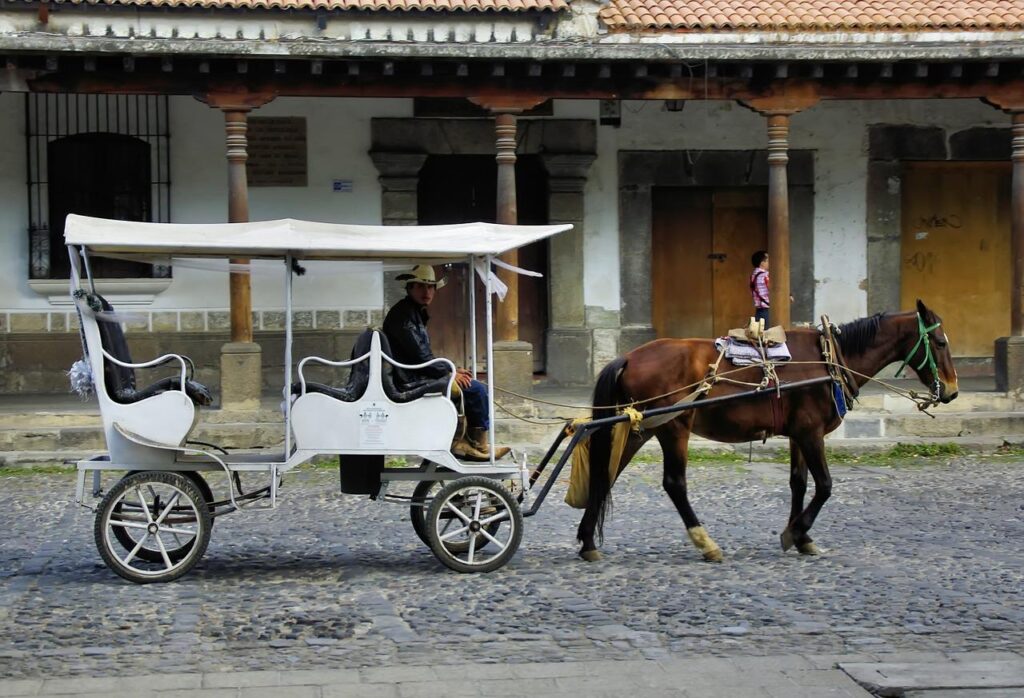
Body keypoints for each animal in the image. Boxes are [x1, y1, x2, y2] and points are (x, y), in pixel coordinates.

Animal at [577, 298, 958, 560]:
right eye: (940, 343)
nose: (952, 391)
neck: (831, 360)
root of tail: (629, 356)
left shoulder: (798, 434)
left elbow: (798, 483)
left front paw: (801, 536)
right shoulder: (811, 433)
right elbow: (824, 485)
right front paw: (797, 531)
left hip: (640, 427)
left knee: (606, 475)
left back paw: (587, 541)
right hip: (673, 427)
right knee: (674, 483)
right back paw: (705, 542)